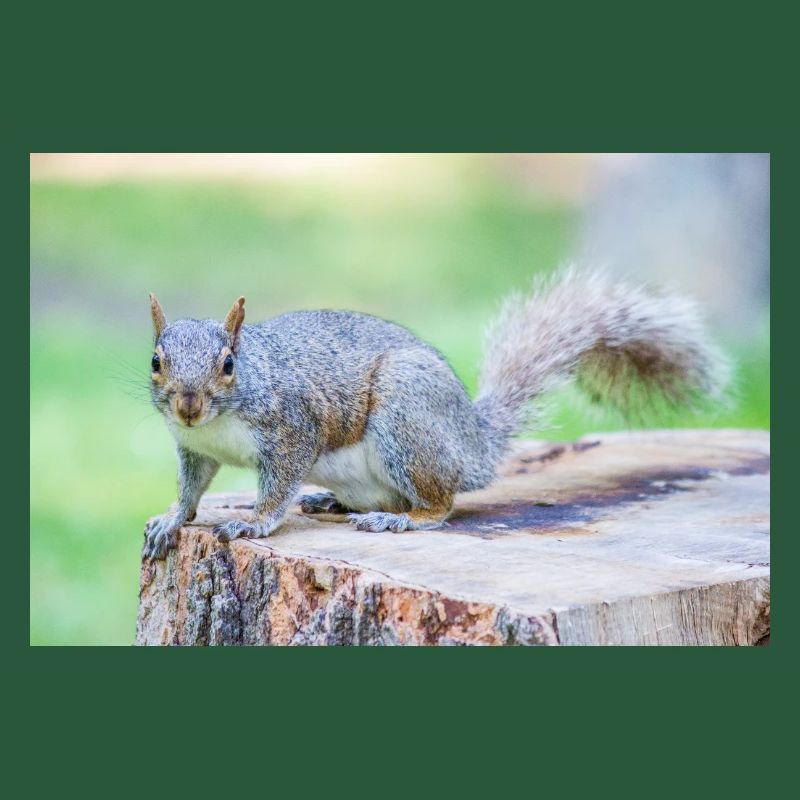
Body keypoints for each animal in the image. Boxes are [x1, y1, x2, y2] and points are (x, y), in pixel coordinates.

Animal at [143, 269, 729, 559]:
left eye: (228, 364)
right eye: (155, 360)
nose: (188, 405)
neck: (219, 423)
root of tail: (473, 443)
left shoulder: (293, 430)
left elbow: (277, 485)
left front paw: (253, 522)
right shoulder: (193, 448)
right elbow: (192, 489)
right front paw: (172, 519)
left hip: (407, 418)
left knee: (441, 504)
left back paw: (400, 518)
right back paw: (331, 501)